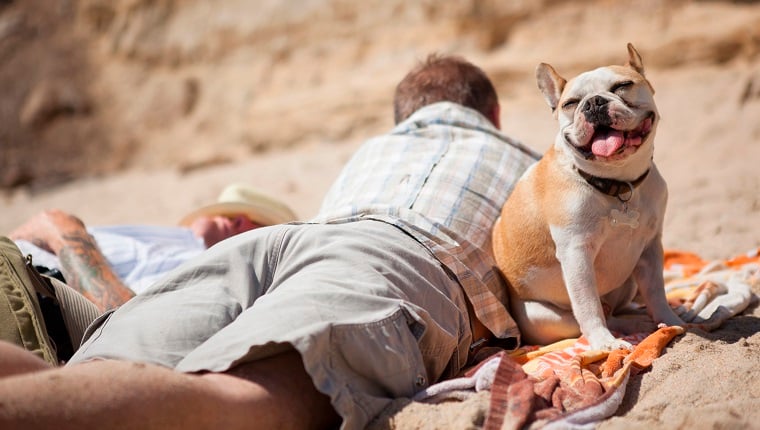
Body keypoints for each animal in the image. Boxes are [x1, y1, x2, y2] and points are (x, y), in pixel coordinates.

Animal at [492, 43, 684, 352]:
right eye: (571, 104)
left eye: (622, 86)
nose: (594, 103)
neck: (619, 184)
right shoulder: (576, 253)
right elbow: (588, 304)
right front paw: (604, 342)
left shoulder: (651, 247)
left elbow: (657, 291)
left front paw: (672, 320)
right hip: (544, 318)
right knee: (595, 316)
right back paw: (627, 329)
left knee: (618, 308)